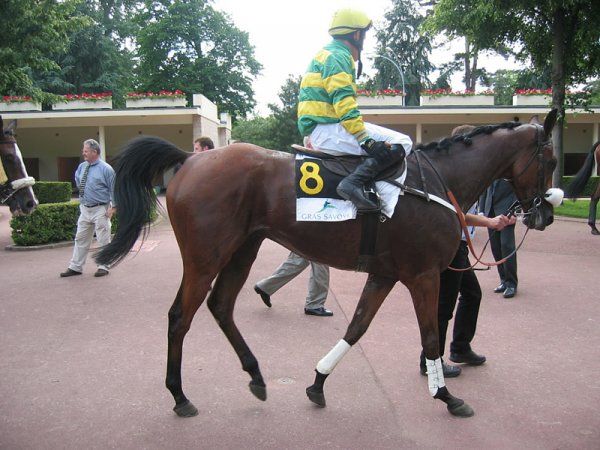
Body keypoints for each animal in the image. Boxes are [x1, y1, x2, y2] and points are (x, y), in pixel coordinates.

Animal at [96, 109, 560, 418]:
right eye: (551, 160)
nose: (545, 214)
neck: (435, 181)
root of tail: (191, 159)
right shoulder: (424, 275)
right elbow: (430, 337)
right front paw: (446, 397)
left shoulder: (385, 274)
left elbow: (356, 327)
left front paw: (318, 382)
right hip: (204, 257)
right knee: (180, 317)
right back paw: (179, 396)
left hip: (243, 249)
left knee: (221, 306)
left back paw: (256, 377)